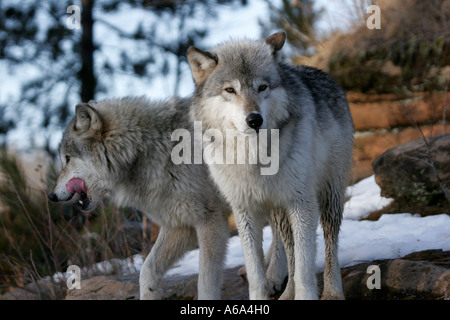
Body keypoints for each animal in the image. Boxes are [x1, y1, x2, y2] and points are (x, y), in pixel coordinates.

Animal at [48, 97, 232, 300]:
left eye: (67, 158)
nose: (51, 195)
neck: (146, 151)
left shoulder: (210, 220)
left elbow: (206, 282)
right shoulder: (180, 226)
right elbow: (147, 269)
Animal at [187, 31, 356, 298]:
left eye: (262, 87)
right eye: (230, 90)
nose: (254, 119)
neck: (254, 157)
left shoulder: (301, 202)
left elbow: (305, 267)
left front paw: (306, 295)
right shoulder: (244, 210)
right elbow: (257, 270)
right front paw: (264, 290)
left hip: (330, 194)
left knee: (329, 242)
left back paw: (331, 291)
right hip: (278, 210)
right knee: (286, 246)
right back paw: (284, 289)